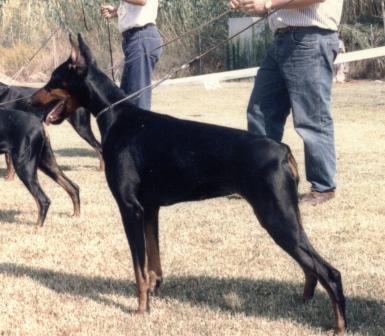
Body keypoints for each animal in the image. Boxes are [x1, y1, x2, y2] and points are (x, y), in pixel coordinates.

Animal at [31, 35, 346, 334]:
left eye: (53, 79)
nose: (30, 100)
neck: (117, 116)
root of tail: (283, 150)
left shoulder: (129, 208)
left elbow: (138, 267)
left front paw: (142, 308)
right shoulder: (150, 209)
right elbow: (153, 260)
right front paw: (155, 291)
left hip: (276, 217)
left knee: (330, 272)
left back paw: (339, 325)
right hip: (288, 216)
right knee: (310, 266)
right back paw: (302, 300)